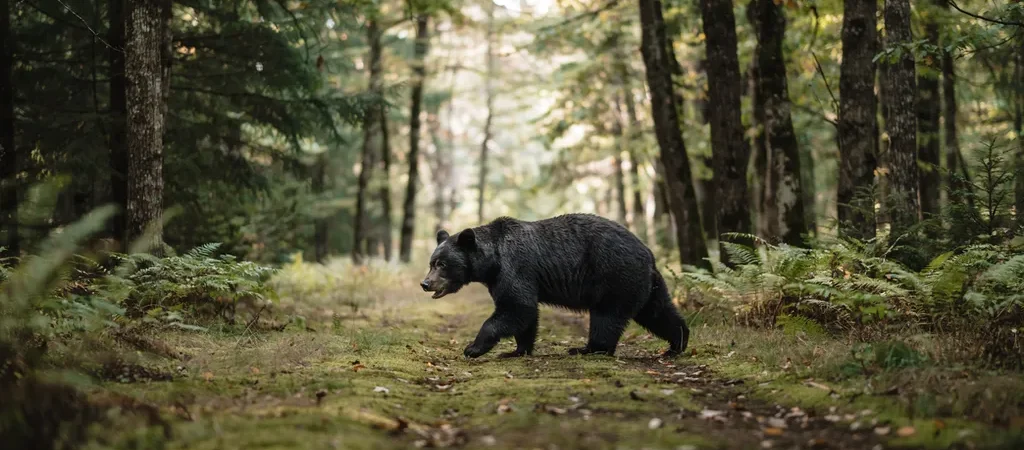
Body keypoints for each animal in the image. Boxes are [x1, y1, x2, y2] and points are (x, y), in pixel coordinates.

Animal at [419, 213, 689, 359]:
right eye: (431, 262)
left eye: (442, 264)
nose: (425, 283)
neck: (492, 262)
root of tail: (648, 252)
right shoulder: (501, 279)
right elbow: (525, 314)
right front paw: (517, 350)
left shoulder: (515, 268)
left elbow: (516, 307)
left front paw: (472, 348)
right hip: (645, 284)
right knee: (657, 312)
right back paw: (677, 343)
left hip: (614, 275)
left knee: (607, 317)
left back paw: (588, 349)